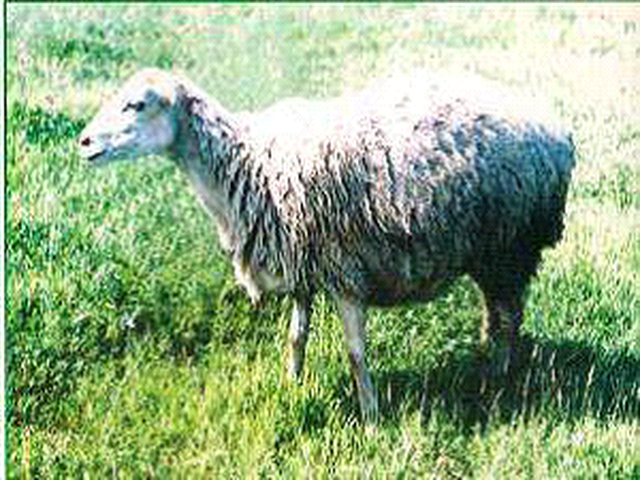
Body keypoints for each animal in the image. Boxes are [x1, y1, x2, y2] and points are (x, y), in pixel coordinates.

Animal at [78, 68, 575, 424]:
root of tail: (556, 130)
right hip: (493, 251)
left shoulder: (344, 272)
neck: (249, 162)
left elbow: (356, 353)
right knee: (499, 316)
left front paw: (371, 417)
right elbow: (296, 336)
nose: (82, 142)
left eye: (137, 104)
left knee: (508, 318)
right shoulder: (303, 268)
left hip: (509, 246)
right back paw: (488, 369)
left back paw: (500, 381)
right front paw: (292, 385)